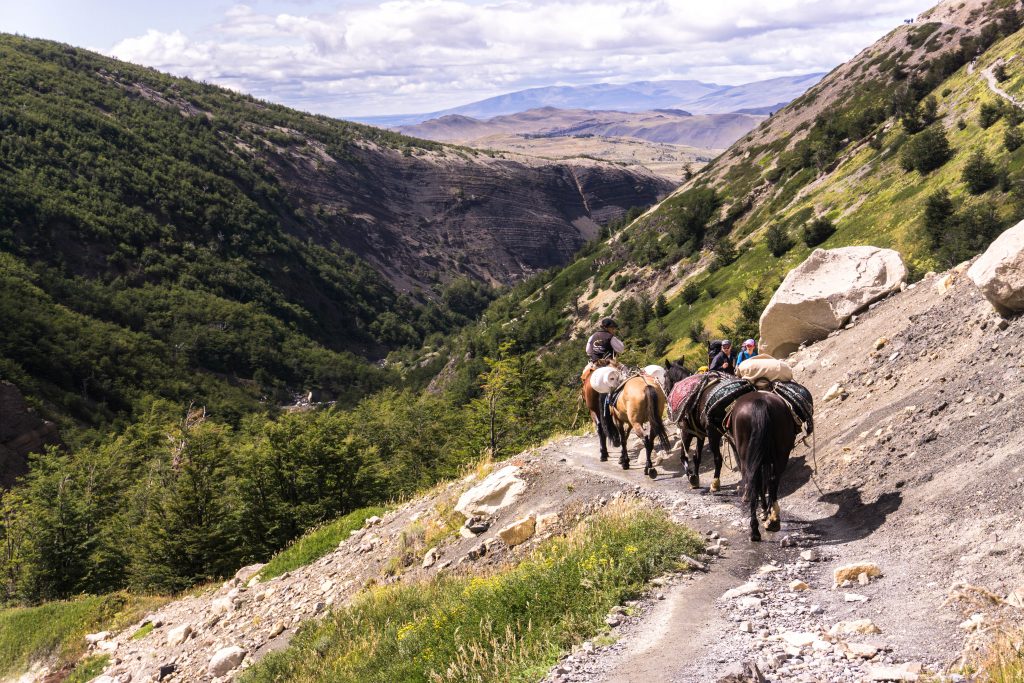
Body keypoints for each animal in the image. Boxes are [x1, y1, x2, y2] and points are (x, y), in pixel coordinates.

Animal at [729, 393, 798, 540]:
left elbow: (759, 484)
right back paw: (773, 521)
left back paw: (755, 530)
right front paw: (766, 512)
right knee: (773, 481)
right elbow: (765, 483)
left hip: (746, 458)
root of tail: (760, 402)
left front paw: (763, 510)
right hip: (781, 454)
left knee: (755, 482)